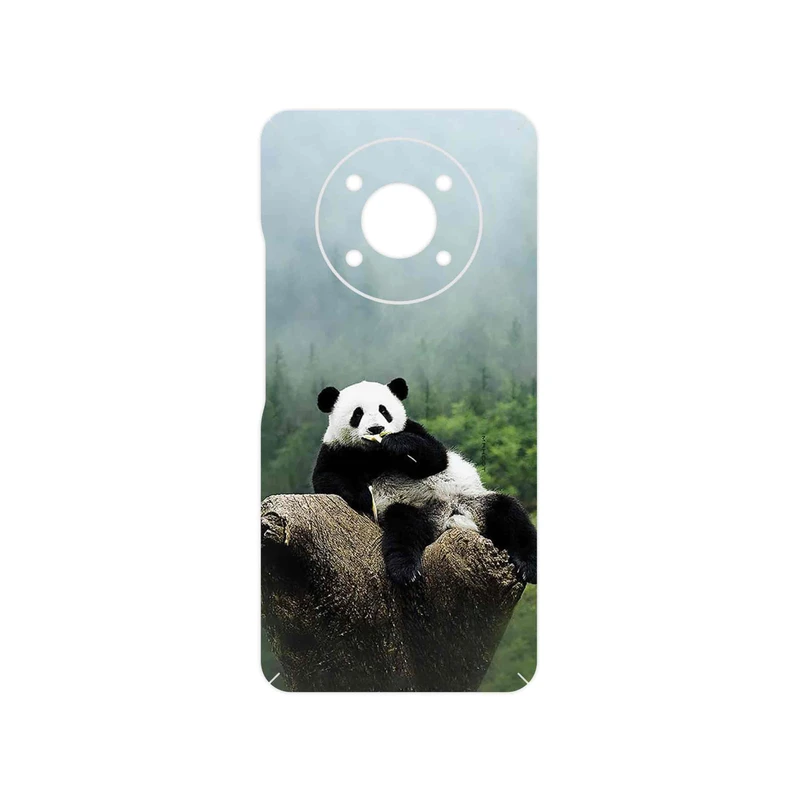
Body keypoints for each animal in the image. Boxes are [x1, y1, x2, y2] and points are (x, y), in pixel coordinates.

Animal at [312, 377, 537, 586]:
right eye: (357, 414)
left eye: (384, 410)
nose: (376, 429)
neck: (376, 454)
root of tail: (449, 517)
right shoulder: (336, 450)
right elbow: (326, 478)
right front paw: (364, 497)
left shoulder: (413, 429)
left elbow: (436, 457)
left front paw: (397, 443)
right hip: (414, 509)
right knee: (403, 529)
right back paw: (405, 571)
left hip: (474, 500)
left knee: (510, 514)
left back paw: (529, 566)